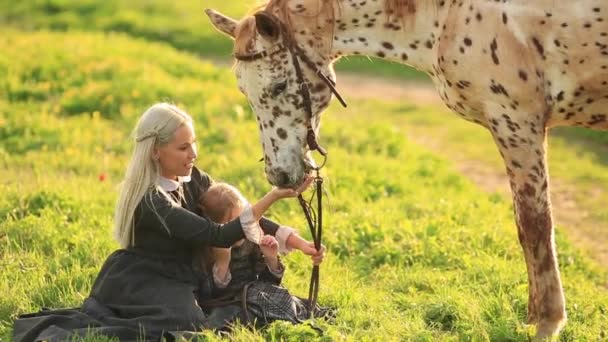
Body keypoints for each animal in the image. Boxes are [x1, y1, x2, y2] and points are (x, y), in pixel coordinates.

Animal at [205, 0, 608, 338]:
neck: (449, 15)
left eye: (278, 86)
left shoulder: (517, 123)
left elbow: (535, 225)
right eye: (245, 92)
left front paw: (547, 323)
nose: (279, 175)